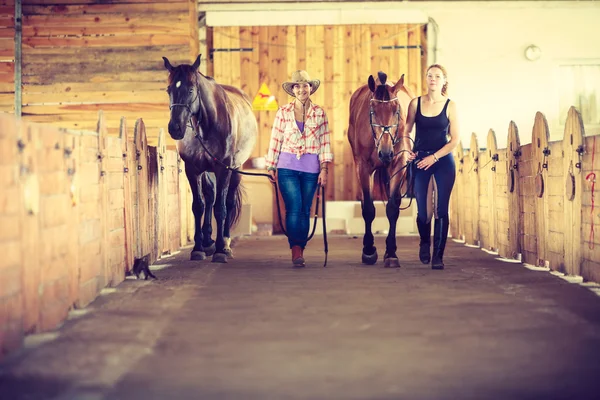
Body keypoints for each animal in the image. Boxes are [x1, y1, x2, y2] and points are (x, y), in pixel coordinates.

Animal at [163, 55, 256, 262]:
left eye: (191, 89)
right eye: (168, 89)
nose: (175, 128)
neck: (206, 125)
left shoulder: (224, 168)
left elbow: (221, 208)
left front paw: (221, 249)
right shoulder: (193, 169)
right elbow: (199, 205)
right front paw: (198, 248)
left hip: (236, 170)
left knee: (228, 202)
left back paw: (226, 243)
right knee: (210, 196)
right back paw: (207, 241)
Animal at [350, 71, 414, 268]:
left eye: (396, 110)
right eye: (372, 110)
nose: (385, 152)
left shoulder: (399, 162)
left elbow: (392, 207)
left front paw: (391, 253)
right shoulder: (363, 167)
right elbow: (368, 209)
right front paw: (369, 250)